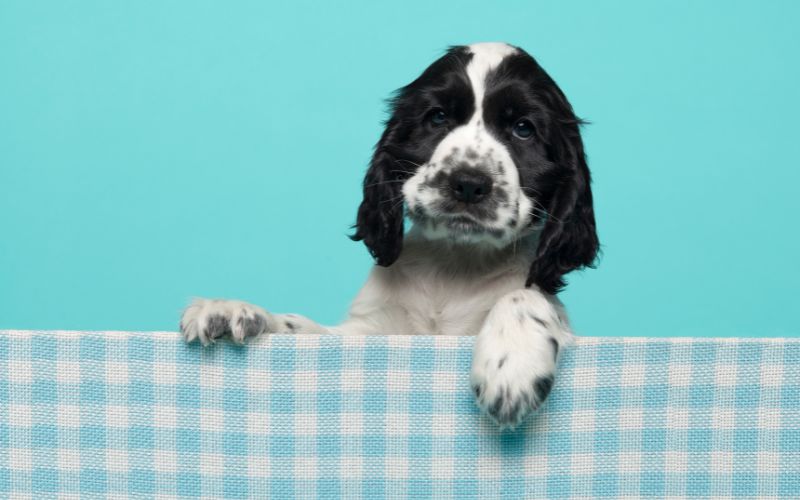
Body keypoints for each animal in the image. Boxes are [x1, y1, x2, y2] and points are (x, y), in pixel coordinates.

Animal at [180, 41, 592, 428]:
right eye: (437, 117)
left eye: (523, 129)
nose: (468, 183)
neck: (457, 264)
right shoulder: (370, 332)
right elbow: (304, 328)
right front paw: (231, 310)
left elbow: (527, 295)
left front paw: (510, 366)